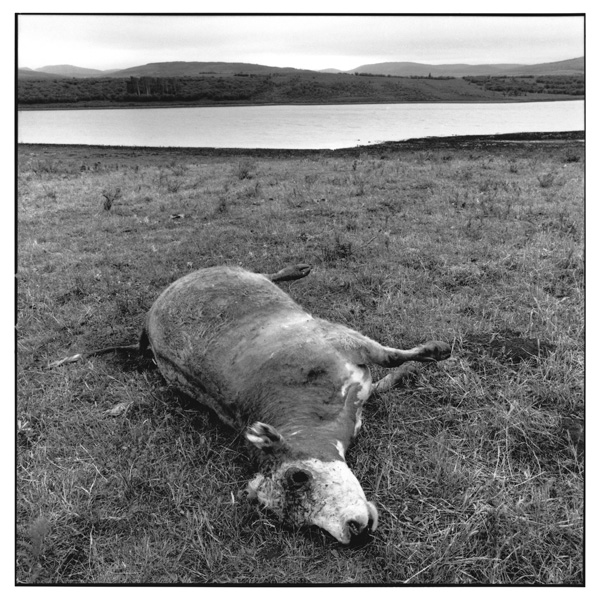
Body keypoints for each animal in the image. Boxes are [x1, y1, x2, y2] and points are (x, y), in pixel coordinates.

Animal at [50, 264, 450, 548]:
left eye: (298, 476)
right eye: (296, 522)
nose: (353, 531)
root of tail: (148, 327)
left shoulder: (342, 339)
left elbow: (394, 356)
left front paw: (433, 352)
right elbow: (386, 377)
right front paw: (410, 370)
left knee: (265, 273)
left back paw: (296, 270)